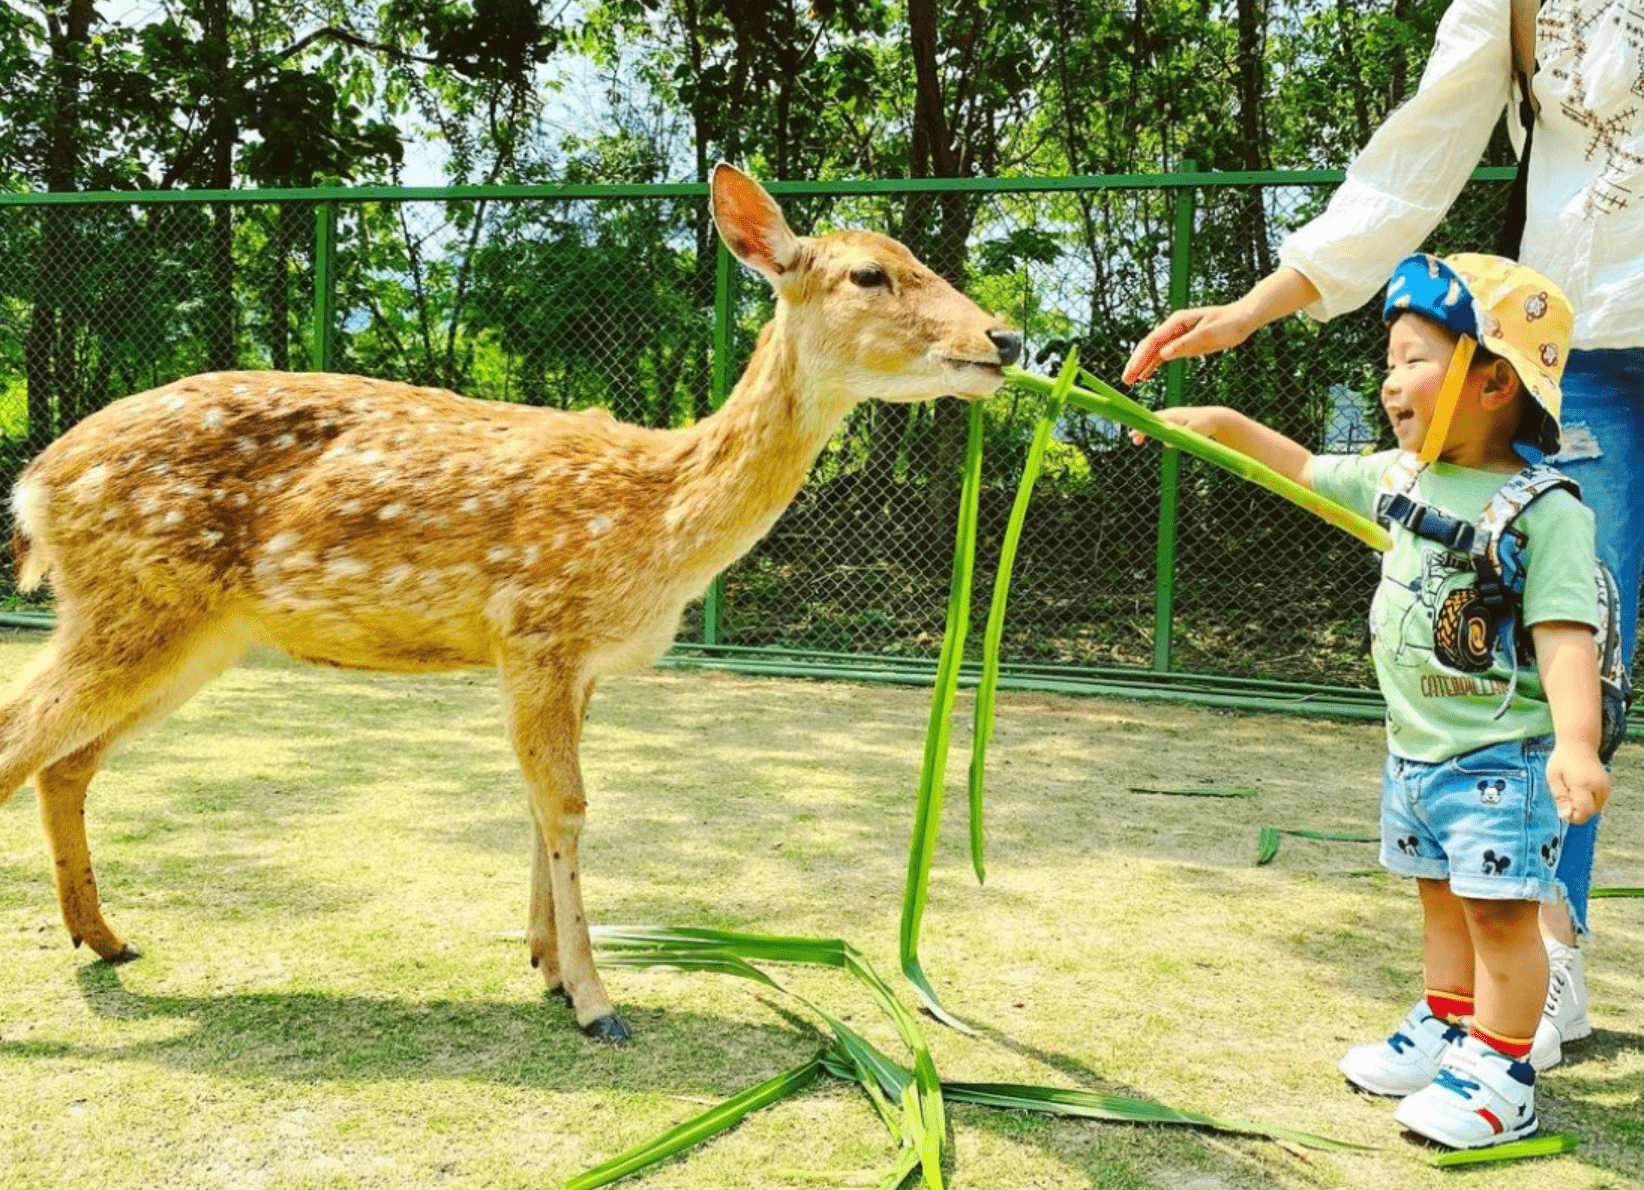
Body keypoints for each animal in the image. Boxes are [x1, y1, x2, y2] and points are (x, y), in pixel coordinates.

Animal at [0, 165, 1019, 1038]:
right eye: (869, 273)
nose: (1004, 339)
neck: (656, 524)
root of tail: (34, 486)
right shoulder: (538, 629)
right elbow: (566, 805)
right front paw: (597, 1002)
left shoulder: (580, 663)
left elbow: (538, 803)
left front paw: (546, 965)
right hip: (136, 602)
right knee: (22, 739)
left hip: (187, 633)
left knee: (66, 762)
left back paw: (107, 938)